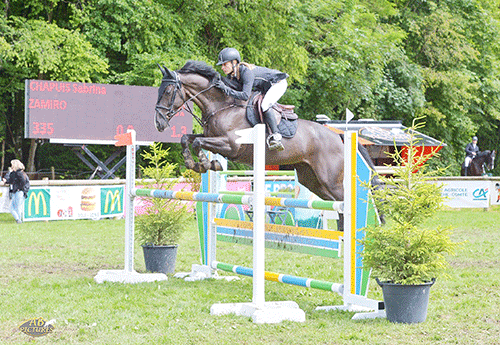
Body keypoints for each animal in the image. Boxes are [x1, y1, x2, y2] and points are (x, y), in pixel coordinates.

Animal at [154, 60, 380, 203]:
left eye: (168, 91)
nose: (158, 123)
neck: (222, 105)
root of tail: (338, 136)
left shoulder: (231, 146)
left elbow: (197, 143)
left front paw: (205, 162)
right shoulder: (212, 137)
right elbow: (187, 139)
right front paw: (195, 163)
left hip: (330, 180)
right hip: (312, 180)